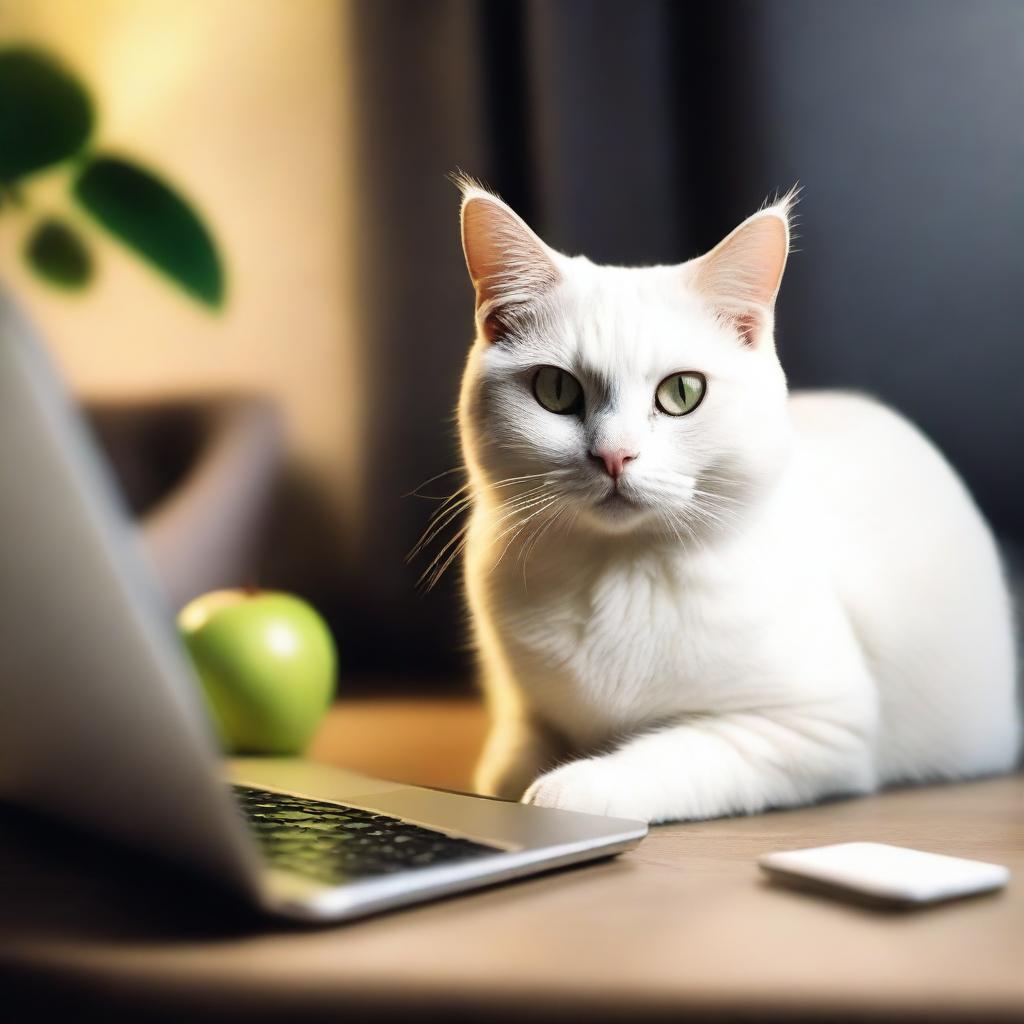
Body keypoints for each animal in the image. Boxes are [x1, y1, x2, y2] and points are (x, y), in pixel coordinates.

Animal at [452, 182, 1019, 823]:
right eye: (555, 390)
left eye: (682, 392)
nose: (615, 456)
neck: (618, 574)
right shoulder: (520, 706)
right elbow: (508, 761)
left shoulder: (815, 726)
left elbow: (675, 751)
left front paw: (574, 788)